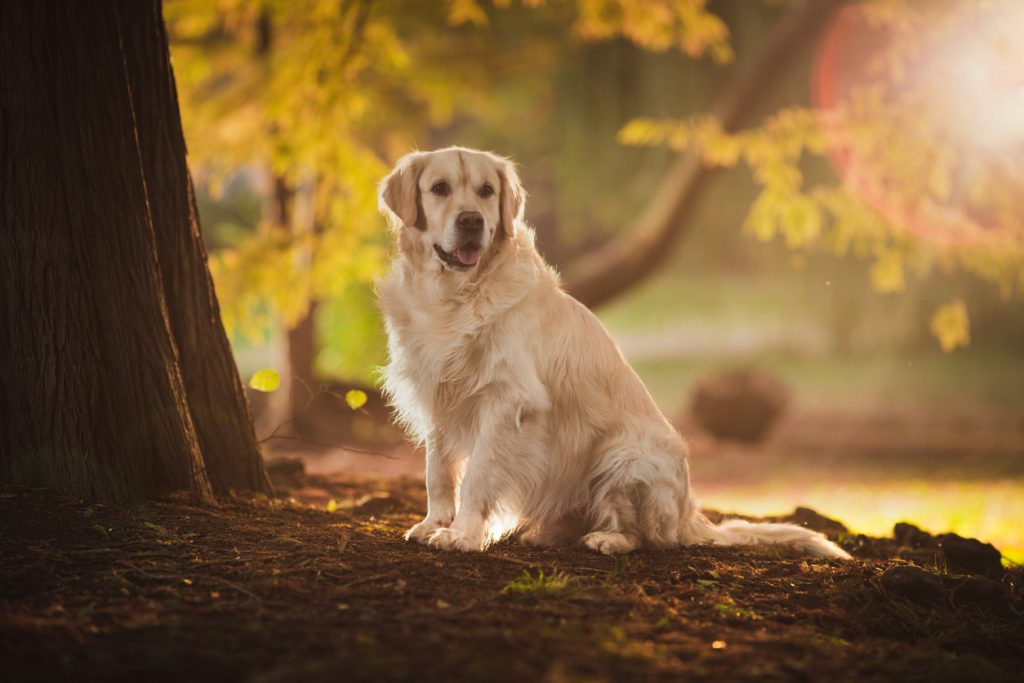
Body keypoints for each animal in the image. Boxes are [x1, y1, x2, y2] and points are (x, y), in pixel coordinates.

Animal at [376, 147, 847, 557]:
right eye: (439, 188)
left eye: (487, 191)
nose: (472, 221)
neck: (453, 297)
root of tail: (689, 513)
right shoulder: (437, 396)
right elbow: (438, 473)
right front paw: (434, 524)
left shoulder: (508, 400)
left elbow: (477, 475)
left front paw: (463, 535)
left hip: (624, 456)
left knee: (648, 537)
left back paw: (607, 538)